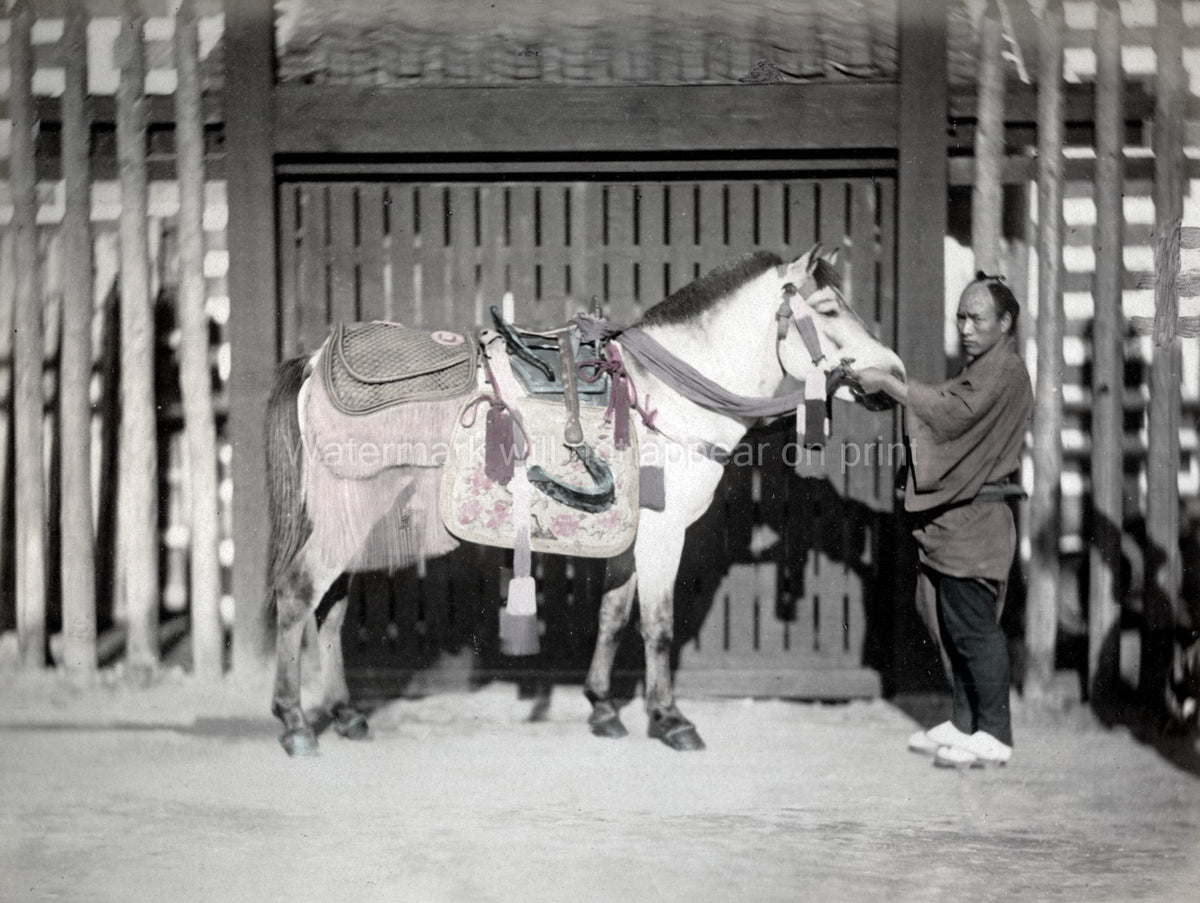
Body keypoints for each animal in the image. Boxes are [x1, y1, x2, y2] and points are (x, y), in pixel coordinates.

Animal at [263, 246, 906, 755]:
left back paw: (346, 715)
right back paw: (294, 723)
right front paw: (669, 720)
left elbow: (613, 615)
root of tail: (315, 362)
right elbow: (658, 625)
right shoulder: (664, 533)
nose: (895, 375)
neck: (664, 395)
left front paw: (602, 707)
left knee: (330, 609)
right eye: (829, 311)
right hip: (344, 523)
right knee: (299, 597)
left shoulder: (628, 536)